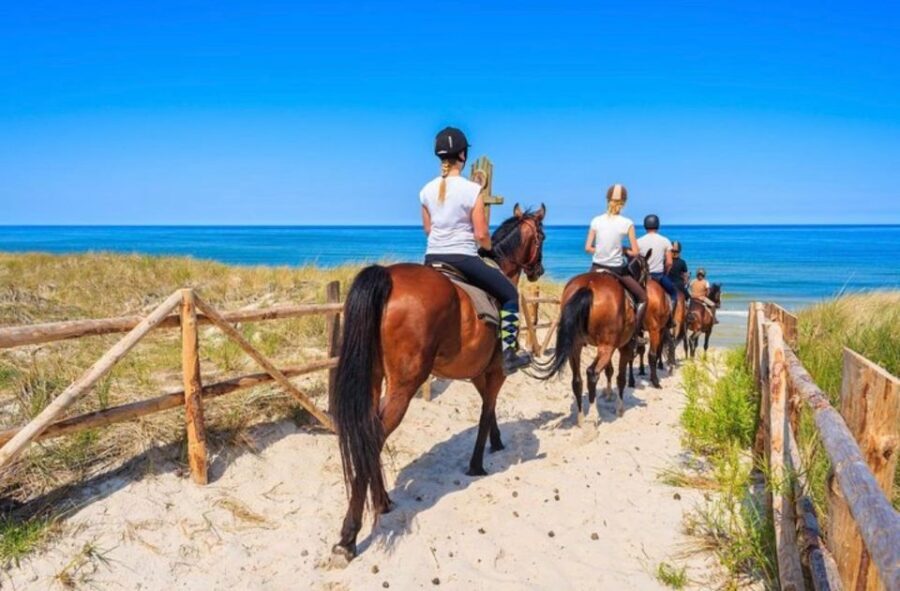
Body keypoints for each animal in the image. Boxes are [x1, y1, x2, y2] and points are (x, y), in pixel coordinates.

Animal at [330, 204, 546, 561]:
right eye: (542, 236)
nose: (538, 270)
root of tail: (387, 277)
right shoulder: (496, 371)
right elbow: (486, 411)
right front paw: (477, 464)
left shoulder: (478, 372)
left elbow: (490, 409)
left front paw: (496, 442)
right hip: (404, 385)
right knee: (375, 436)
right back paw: (349, 536)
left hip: (375, 379)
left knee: (367, 434)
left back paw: (383, 502)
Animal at [532, 255, 649, 422]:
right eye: (647, 273)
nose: (645, 288)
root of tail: (588, 286)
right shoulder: (624, 347)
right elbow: (620, 378)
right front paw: (619, 408)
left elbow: (609, 370)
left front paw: (608, 394)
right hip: (607, 347)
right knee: (592, 373)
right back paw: (593, 416)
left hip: (577, 346)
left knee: (577, 380)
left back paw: (581, 418)